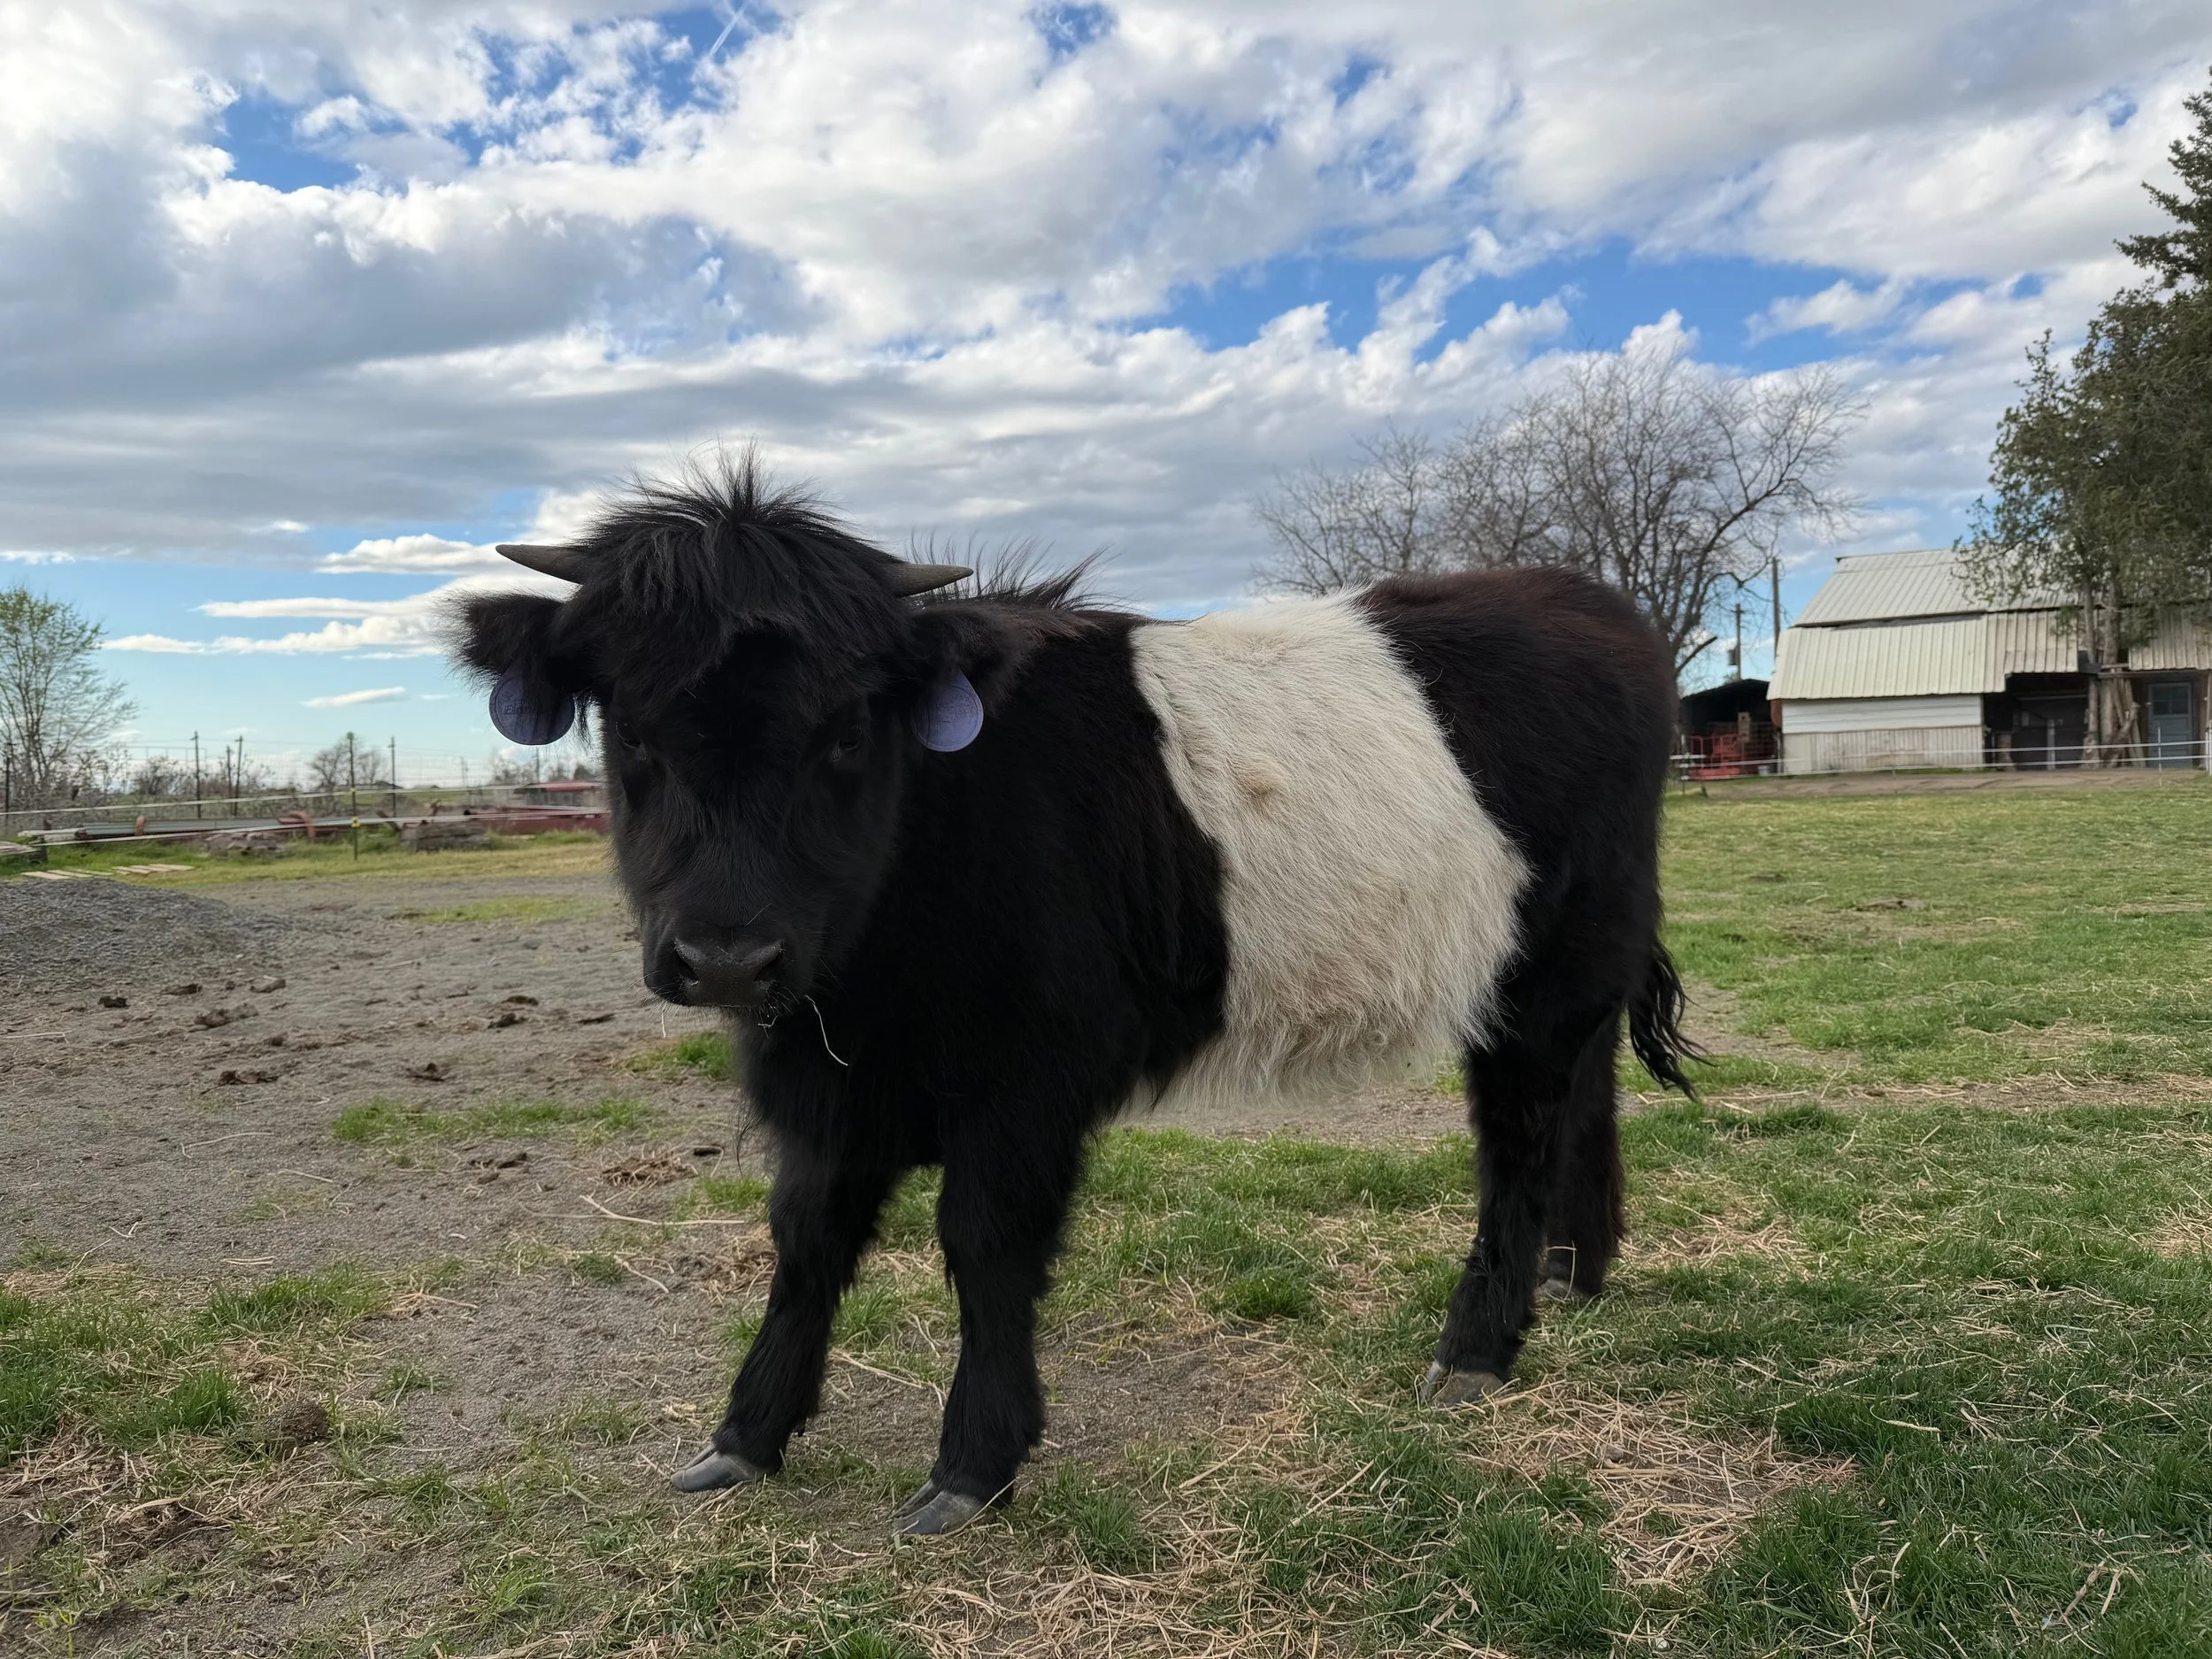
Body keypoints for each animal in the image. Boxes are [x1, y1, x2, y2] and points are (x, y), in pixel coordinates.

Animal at [452, 459, 1697, 1537]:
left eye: (845, 731)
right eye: (628, 728)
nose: (725, 958)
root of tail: (1582, 599)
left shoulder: (1025, 1084)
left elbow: (985, 1245)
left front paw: (972, 1465)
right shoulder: (834, 1086)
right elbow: (806, 1239)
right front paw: (745, 1437)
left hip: (1548, 969)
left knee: (1519, 1135)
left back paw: (1479, 1347)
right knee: (1584, 1100)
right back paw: (1573, 1273)